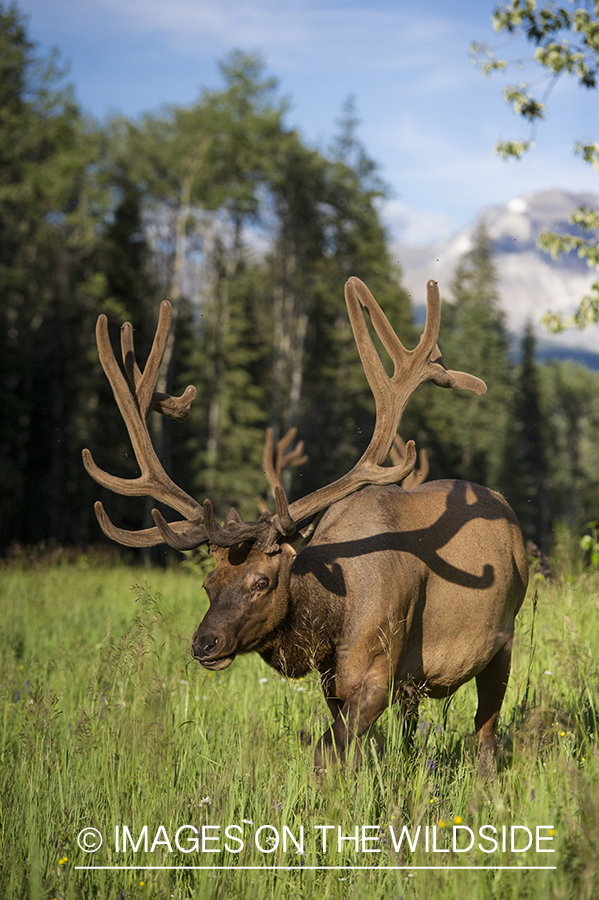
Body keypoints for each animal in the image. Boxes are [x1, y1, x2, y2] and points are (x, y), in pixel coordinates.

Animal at [82, 278, 528, 768]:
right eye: (207, 584)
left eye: (261, 581)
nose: (204, 644)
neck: (333, 616)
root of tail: (506, 509)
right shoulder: (335, 680)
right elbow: (359, 754)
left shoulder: (381, 668)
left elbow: (326, 754)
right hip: (418, 685)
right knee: (413, 732)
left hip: (504, 638)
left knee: (486, 730)